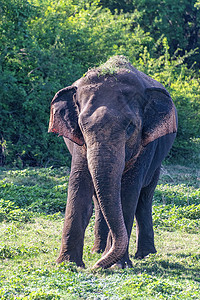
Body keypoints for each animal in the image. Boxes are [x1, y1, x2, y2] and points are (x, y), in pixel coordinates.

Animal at [48, 55, 178, 268]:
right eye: (82, 125)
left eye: (131, 126)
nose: (96, 267)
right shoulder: (80, 145)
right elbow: (79, 186)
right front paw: (68, 264)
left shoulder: (145, 148)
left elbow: (128, 192)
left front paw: (119, 265)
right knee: (99, 199)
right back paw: (98, 250)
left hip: (157, 161)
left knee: (144, 197)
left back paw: (144, 255)